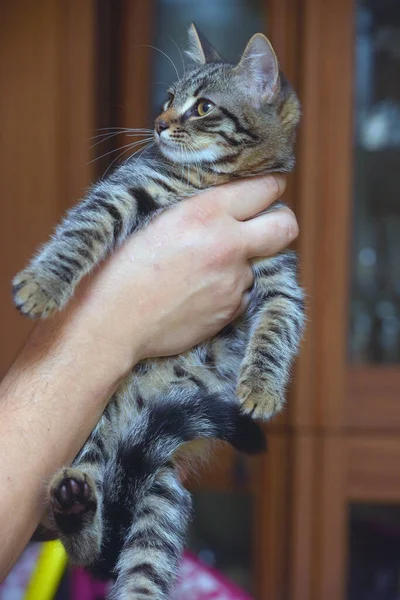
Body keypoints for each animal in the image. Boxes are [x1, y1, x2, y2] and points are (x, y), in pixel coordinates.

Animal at [14, 25, 304, 596]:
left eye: (204, 107)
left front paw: (261, 388)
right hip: (96, 444)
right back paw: (76, 505)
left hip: (161, 488)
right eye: (169, 98)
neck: (212, 182)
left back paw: (83, 510)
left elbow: (278, 327)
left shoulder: (281, 276)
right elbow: (80, 233)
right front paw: (44, 284)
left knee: (135, 561)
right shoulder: (124, 191)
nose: (159, 123)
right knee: (81, 540)